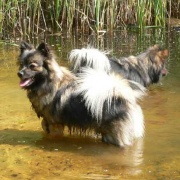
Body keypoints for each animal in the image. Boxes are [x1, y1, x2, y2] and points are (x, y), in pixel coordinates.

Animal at [17, 41, 146, 147]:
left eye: (32, 66)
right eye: (21, 64)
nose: (19, 73)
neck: (49, 83)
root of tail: (121, 97)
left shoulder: (55, 124)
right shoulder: (47, 121)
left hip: (114, 135)